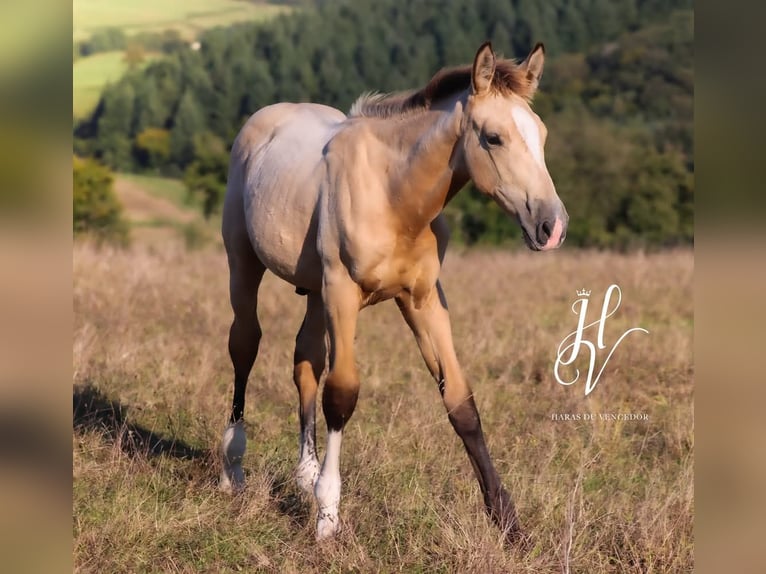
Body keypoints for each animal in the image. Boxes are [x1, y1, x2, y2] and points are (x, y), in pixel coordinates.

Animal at [219, 40, 568, 544]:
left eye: (540, 135)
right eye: (493, 137)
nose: (552, 226)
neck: (393, 194)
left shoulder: (423, 299)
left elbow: (460, 402)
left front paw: (509, 524)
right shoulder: (343, 293)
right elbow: (342, 395)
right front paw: (327, 517)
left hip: (316, 293)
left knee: (306, 361)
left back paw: (304, 474)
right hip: (246, 263)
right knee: (245, 344)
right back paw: (233, 468)